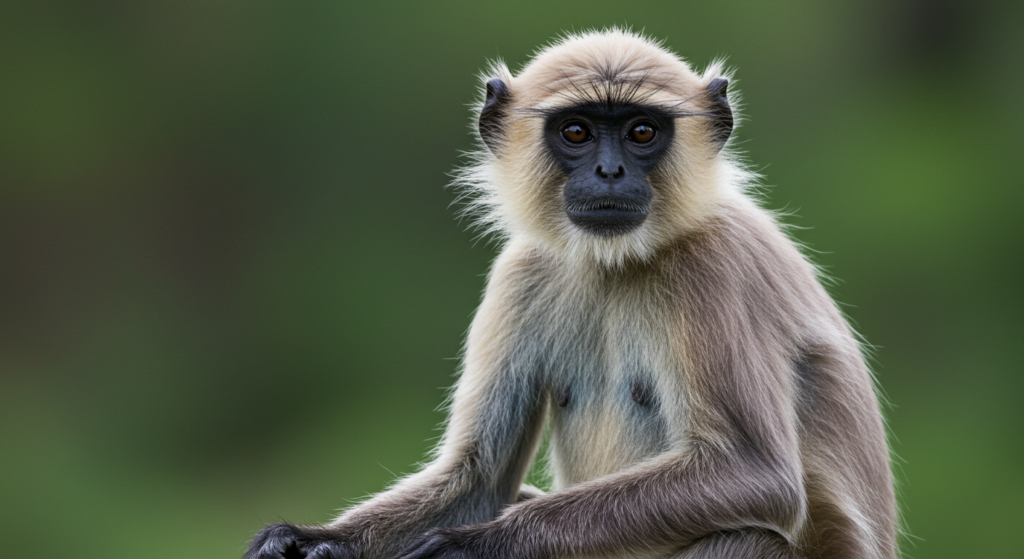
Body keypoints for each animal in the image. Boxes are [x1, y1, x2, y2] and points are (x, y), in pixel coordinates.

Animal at [245, 29, 897, 556]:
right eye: (577, 131)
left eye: (641, 131)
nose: (610, 173)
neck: (617, 263)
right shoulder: (523, 269)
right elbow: (478, 480)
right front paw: (308, 540)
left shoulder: (713, 264)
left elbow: (756, 475)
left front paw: (471, 548)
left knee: (745, 538)